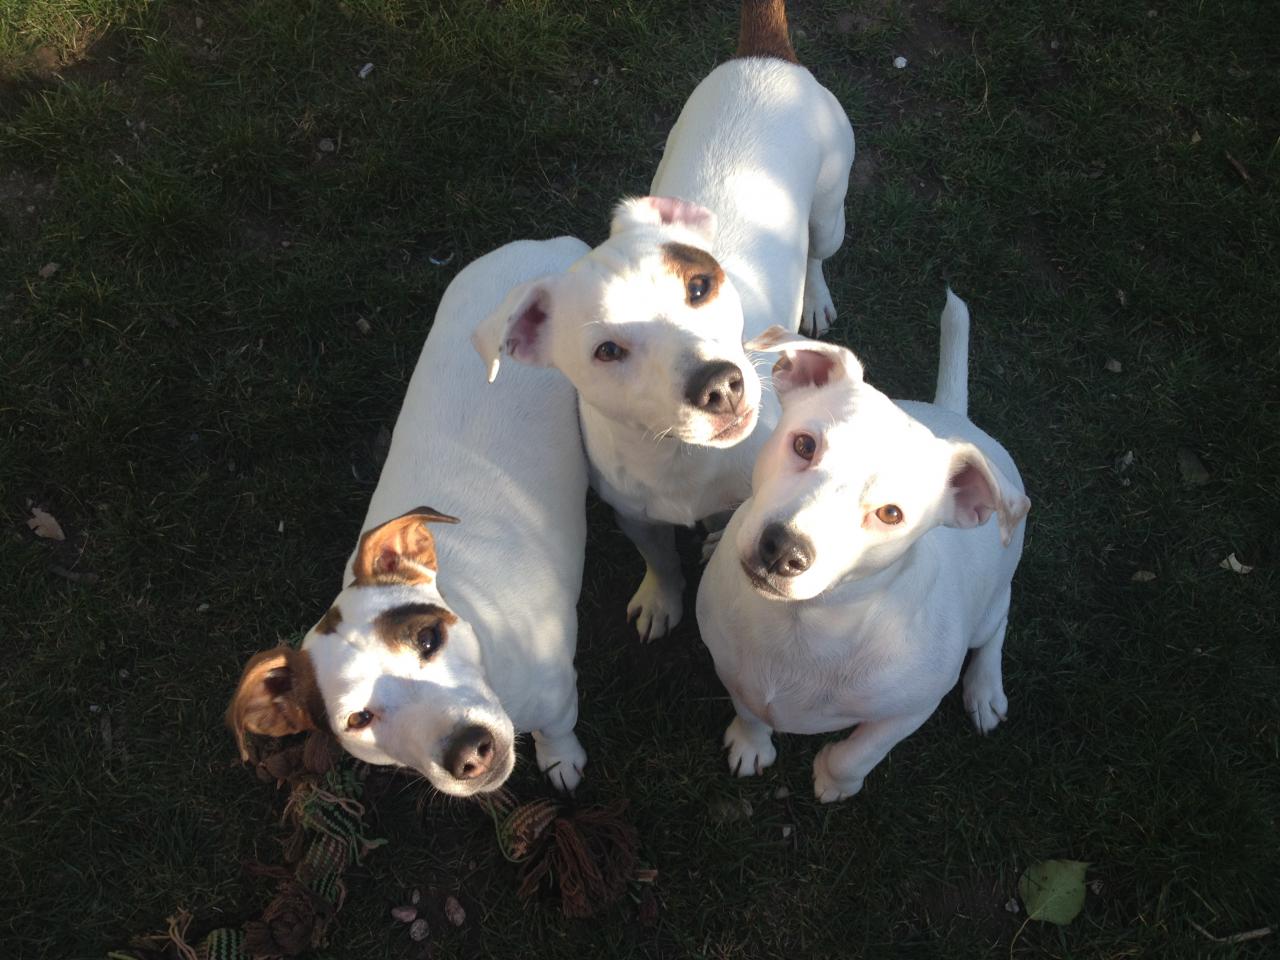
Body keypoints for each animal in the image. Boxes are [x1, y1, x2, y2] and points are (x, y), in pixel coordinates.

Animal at [226, 239, 593, 798]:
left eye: (428, 639)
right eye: (357, 719)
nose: (469, 750)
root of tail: (545, 245)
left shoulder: (557, 694)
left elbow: (559, 727)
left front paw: (562, 758)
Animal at [468, 1, 849, 647]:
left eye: (699, 287)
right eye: (607, 351)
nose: (720, 385)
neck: (680, 461)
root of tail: (765, 56)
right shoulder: (634, 515)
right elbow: (661, 559)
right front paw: (661, 597)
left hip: (829, 208)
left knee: (820, 250)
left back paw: (816, 296)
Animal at [696, 291, 1034, 803]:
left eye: (891, 514)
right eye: (804, 444)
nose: (783, 549)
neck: (804, 627)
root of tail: (957, 418)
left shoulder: (912, 709)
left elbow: (860, 751)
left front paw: (835, 780)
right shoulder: (730, 666)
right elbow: (749, 708)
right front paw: (751, 743)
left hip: (989, 608)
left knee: (996, 625)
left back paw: (984, 688)